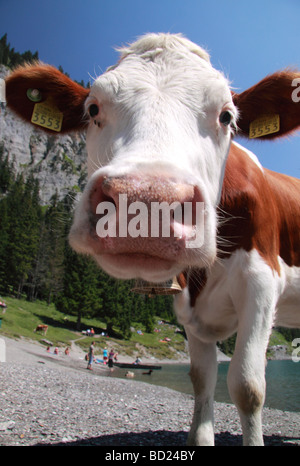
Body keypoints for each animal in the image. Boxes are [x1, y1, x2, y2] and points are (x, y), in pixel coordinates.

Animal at [4, 33, 300, 448]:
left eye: (226, 116)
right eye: (92, 108)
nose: (147, 200)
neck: (204, 277)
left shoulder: (261, 281)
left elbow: (247, 387)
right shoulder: (189, 311)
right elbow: (202, 381)